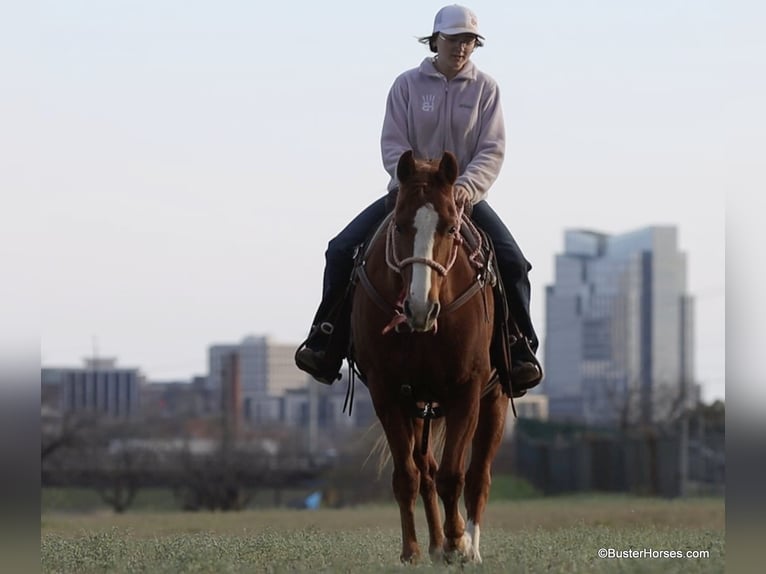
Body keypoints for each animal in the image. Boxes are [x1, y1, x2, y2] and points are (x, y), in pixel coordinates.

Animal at [350, 150, 508, 564]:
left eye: (451, 228)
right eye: (400, 224)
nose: (420, 308)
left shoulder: (467, 391)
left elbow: (455, 475)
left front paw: (458, 543)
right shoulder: (388, 393)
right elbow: (408, 476)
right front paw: (413, 551)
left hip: (495, 399)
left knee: (479, 475)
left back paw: (469, 547)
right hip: (419, 405)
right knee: (425, 470)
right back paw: (437, 544)